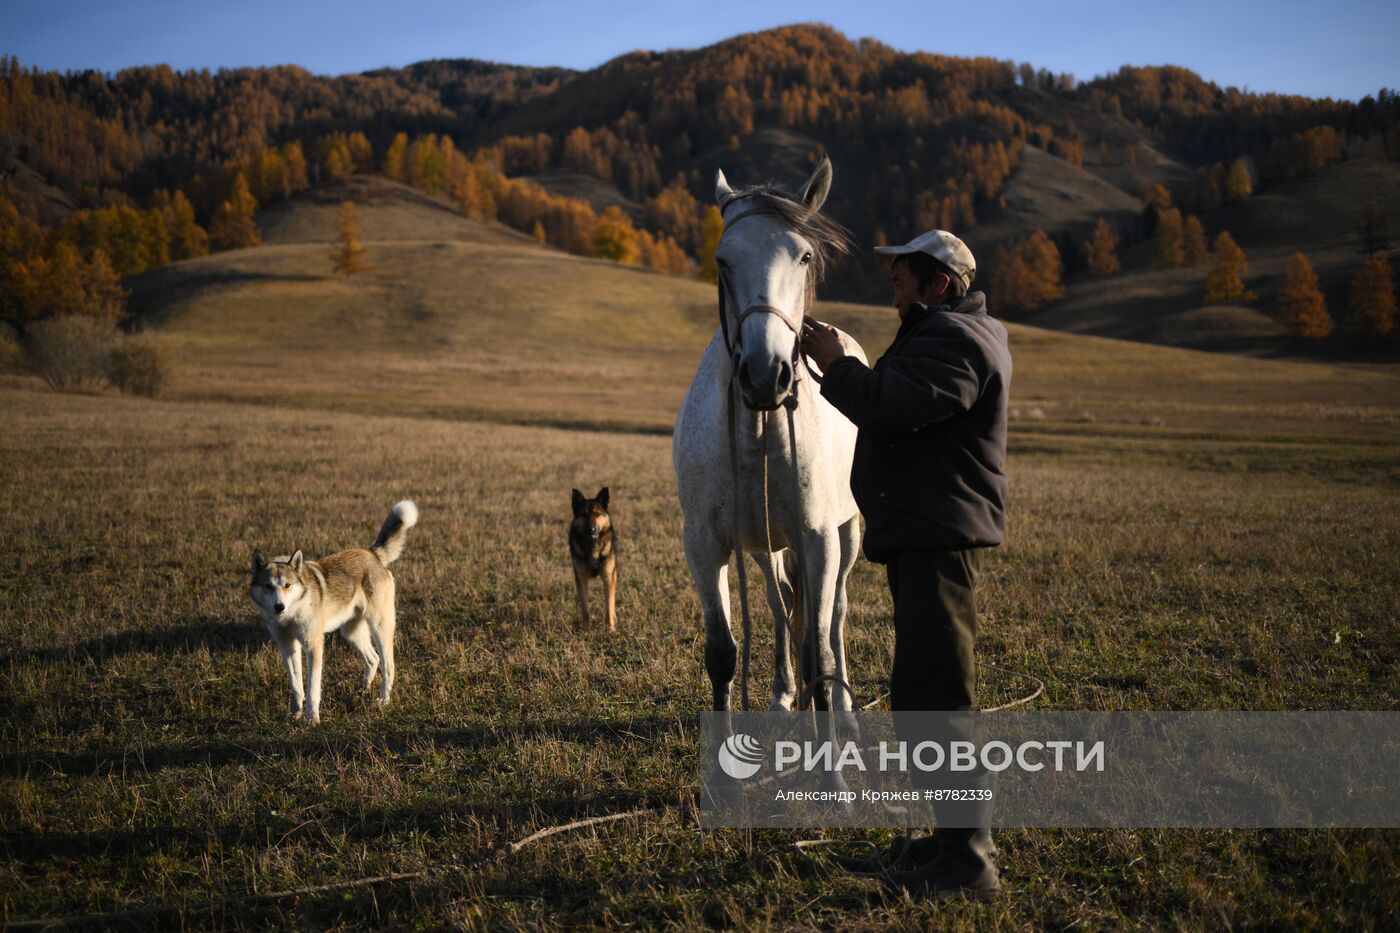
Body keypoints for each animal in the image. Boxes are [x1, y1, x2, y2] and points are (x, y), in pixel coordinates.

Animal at [247, 498, 414, 722]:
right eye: (268, 586)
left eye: (287, 585)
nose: (279, 606)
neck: (292, 612)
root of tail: (372, 554)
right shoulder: (288, 646)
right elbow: (296, 685)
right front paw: (295, 713)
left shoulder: (313, 646)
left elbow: (312, 688)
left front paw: (312, 718)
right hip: (351, 632)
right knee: (373, 659)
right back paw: (362, 689)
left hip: (380, 628)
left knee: (388, 665)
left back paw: (383, 700)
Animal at [568, 487, 618, 633]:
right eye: (583, 514)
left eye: (597, 514)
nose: (592, 530)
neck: (592, 546)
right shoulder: (581, 579)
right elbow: (585, 609)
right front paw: (586, 630)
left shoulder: (608, 578)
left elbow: (608, 607)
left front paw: (610, 630)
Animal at [672, 158, 868, 711]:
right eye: (722, 261)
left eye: (804, 256)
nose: (764, 375)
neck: (758, 435)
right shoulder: (705, 544)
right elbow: (722, 653)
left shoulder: (818, 540)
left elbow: (819, 650)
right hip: (764, 547)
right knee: (779, 602)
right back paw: (783, 693)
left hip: (847, 534)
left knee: (836, 612)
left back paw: (844, 707)